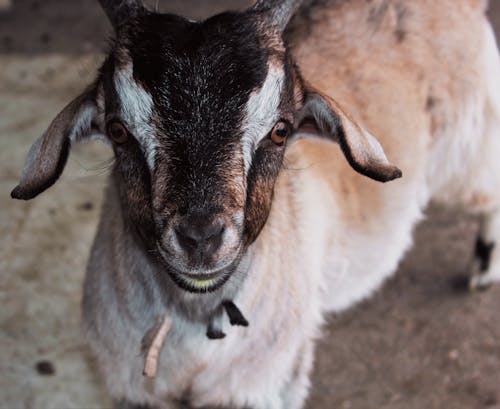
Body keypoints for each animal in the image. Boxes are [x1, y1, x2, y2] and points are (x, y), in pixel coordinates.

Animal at [9, 0, 500, 408]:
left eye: (281, 130)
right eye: (117, 130)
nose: (201, 237)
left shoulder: (266, 387)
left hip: (470, 143)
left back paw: (483, 267)